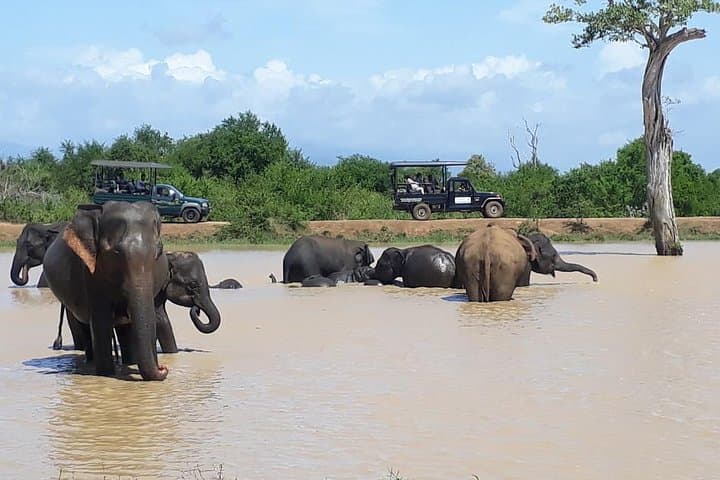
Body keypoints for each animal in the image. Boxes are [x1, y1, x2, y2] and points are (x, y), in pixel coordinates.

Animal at [43, 201, 172, 381]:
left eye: (159, 252)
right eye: (116, 253)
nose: (164, 368)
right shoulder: (91, 273)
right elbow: (101, 319)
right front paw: (107, 374)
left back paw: (128, 362)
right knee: (84, 325)